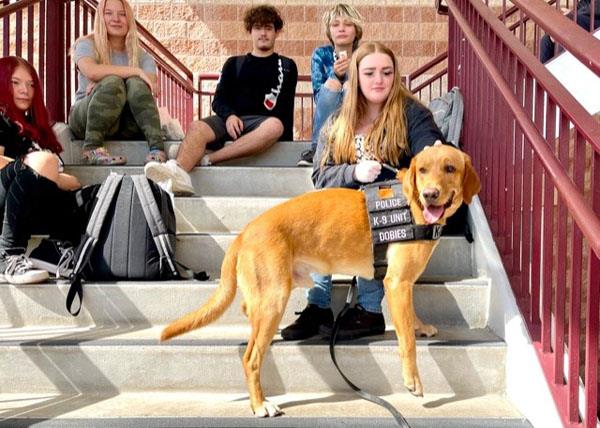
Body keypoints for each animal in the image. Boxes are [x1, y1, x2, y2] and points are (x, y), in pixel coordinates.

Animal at [162, 143, 480, 414]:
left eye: (450, 168)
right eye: (422, 170)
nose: (430, 194)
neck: (410, 203)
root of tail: (246, 231)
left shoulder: (402, 284)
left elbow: (411, 316)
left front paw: (421, 327)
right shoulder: (397, 283)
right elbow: (408, 343)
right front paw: (412, 380)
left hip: (267, 295)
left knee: (246, 309)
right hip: (275, 298)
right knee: (251, 359)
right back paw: (260, 404)